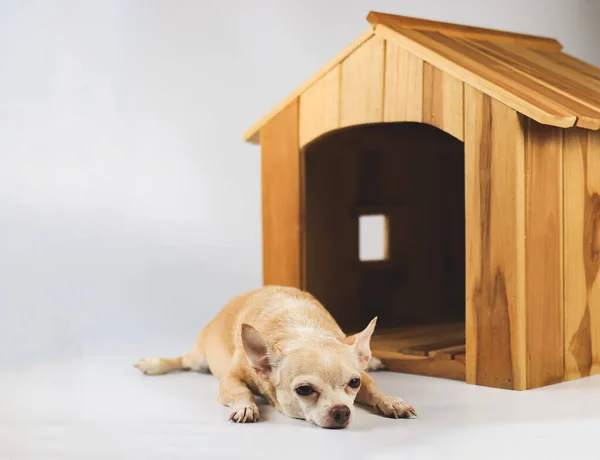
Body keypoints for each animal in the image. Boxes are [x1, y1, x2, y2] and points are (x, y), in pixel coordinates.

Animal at [135, 284, 418, 428]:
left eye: (354, 383)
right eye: (304, 390)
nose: (342, 411)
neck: (301, 329)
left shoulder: (362, 376)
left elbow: (375, 390)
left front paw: (390, 401)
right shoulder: (230, 379)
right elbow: (241, 390)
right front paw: (246, 406)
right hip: (197, 358)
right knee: (180, 361)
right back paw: (154, 364)